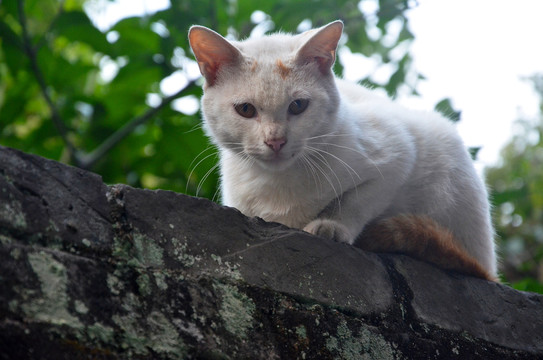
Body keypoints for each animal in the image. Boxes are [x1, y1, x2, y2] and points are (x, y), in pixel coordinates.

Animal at [189, 21, 500, 282]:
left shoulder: (397, 151)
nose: (275, 141)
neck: (279, 183)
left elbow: (357, 200)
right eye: (245, 109)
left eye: (298, 106)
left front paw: (331, 226)